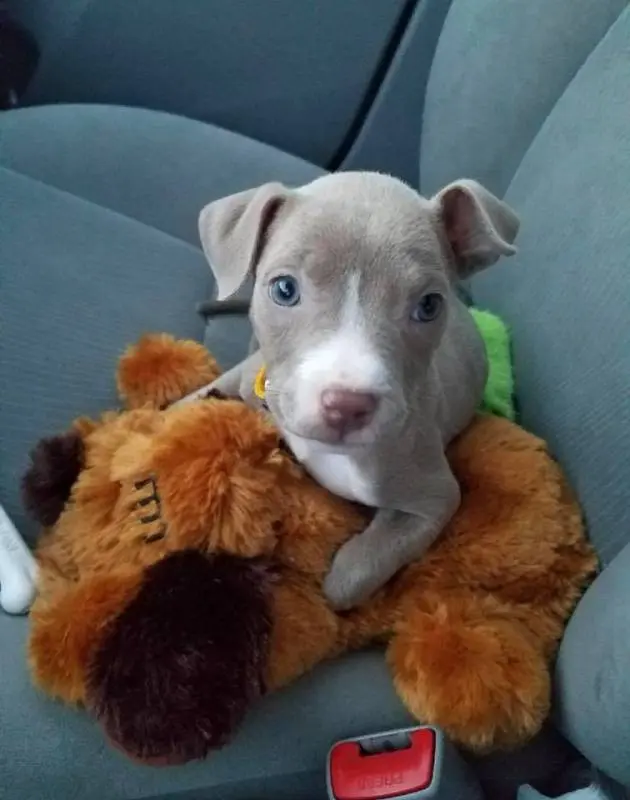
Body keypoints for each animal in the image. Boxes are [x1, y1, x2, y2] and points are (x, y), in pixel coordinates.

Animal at [185, 172, 520, 608]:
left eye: (429, 305)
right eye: (284, 289)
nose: (347, 405)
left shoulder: (435, 498)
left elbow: (347, 582)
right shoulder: (248, 379)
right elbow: (190, 402)